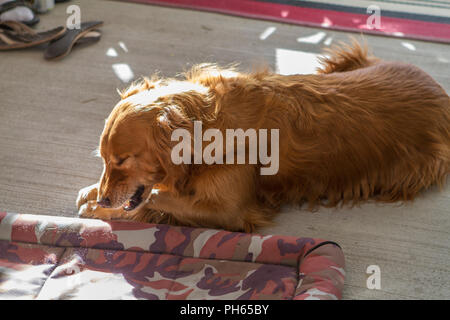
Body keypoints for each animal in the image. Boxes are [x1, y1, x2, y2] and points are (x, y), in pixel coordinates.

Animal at [77, 40, 450, 232]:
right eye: (105, 160)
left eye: (123, 160)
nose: (106, 199)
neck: (208, 125)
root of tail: (439, 90)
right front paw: (92, 192)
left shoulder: (231, 211)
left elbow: (155, 198)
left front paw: (100, 211)